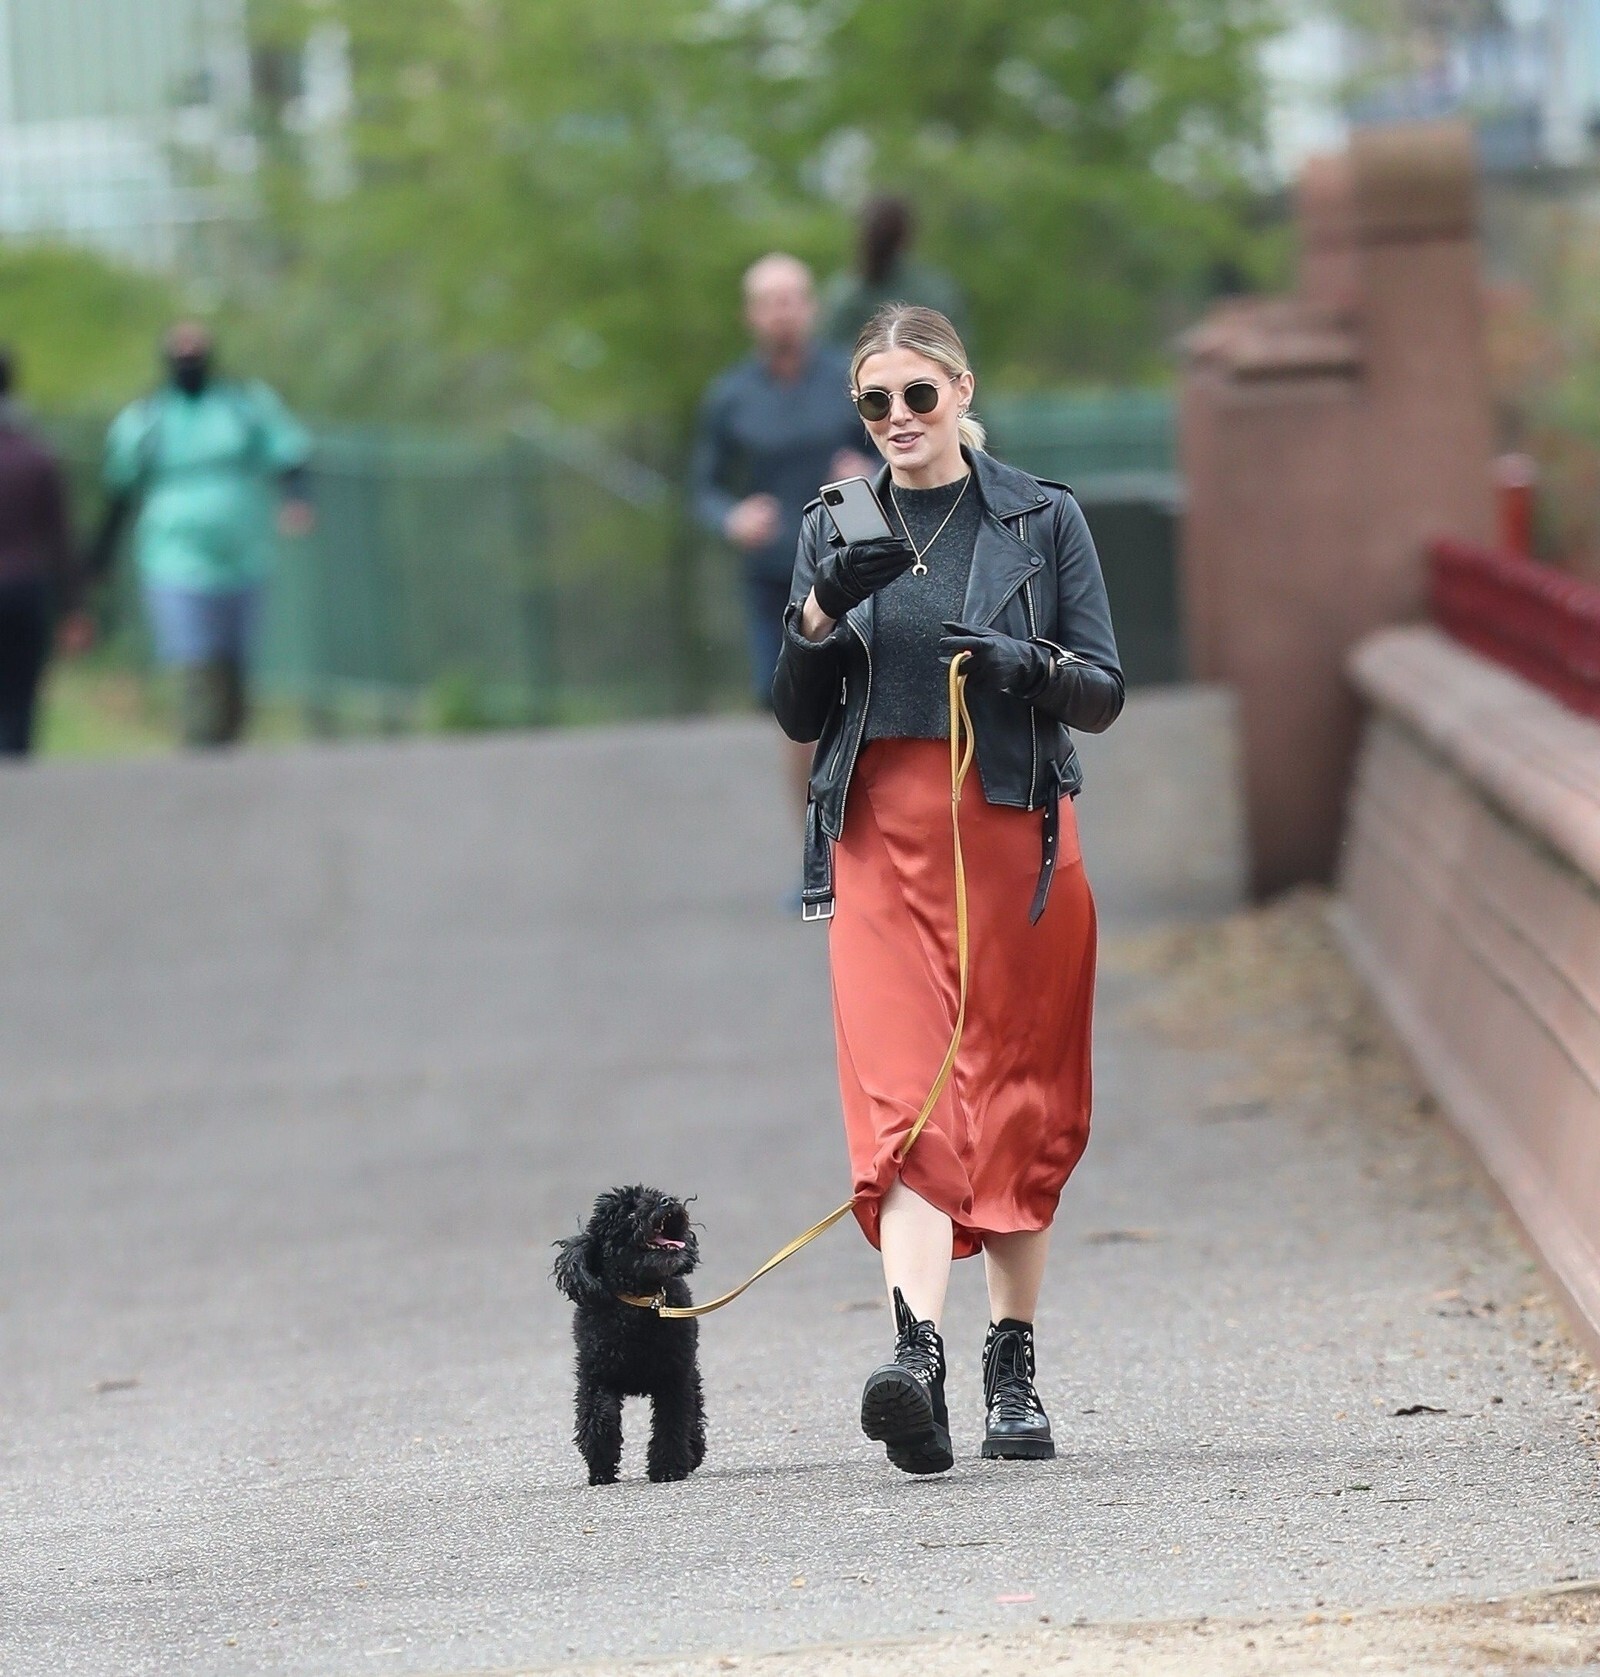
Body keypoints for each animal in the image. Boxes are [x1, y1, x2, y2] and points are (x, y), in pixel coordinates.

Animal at [551, 1185, 706, 1485]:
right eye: (630, 1213)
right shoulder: (595, 1374)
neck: (642, 1302)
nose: (667, 1201)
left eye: (655, 1195)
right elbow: (599, 1415)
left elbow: (672, 1421)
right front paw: (601, 1466)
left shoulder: (674, 1377)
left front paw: (668, 1467)